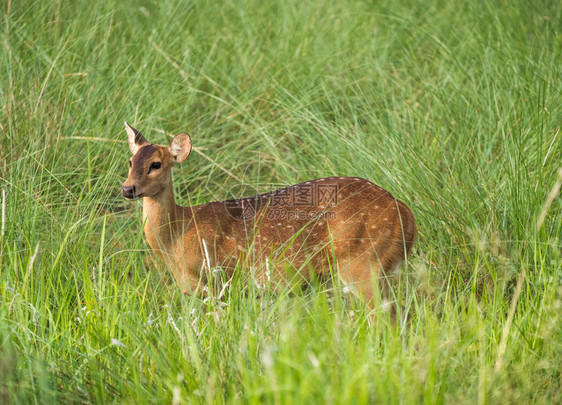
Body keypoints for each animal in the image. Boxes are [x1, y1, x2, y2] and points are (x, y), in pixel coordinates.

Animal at [119, 121, 416, 318]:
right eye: (131, 162)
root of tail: (405, 214)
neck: (177, 236)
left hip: (363, 262)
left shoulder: (218, 280)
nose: (127, 189)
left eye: (156, 164)